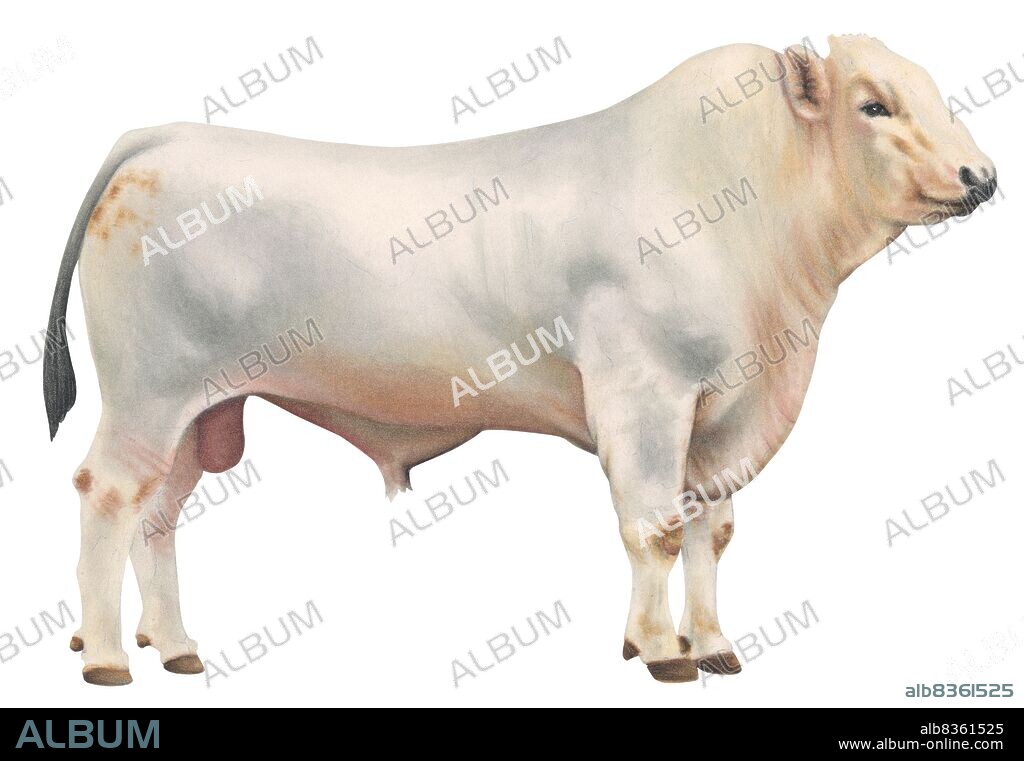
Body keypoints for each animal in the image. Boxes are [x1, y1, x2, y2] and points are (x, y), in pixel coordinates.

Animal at [45, 34, 996, 686]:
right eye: (874, 105)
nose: (981, 175)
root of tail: (164, 138)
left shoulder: (724, 419)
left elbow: (709, 531)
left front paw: (714, 644)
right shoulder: (644, 397)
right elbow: (654, 526)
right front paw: (663, 651)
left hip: (200, 410)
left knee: (159, 514)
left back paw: (174, 645)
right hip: (146, 392)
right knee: (106, 495)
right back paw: (106, 657)